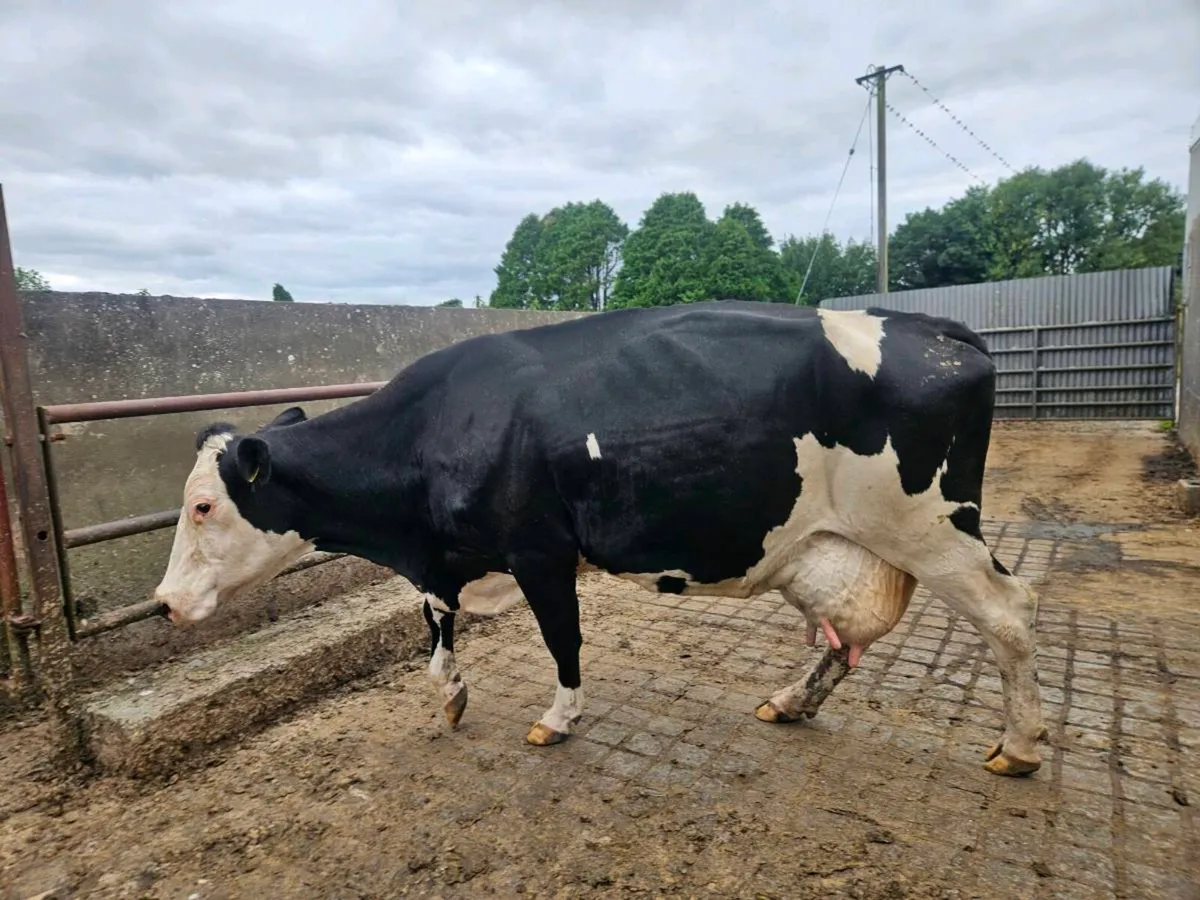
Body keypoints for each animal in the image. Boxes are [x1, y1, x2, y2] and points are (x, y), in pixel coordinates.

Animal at [153, 300, 1047, 776]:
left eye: (201, 507)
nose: (162, 603)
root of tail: (940, 329)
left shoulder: (540, 551)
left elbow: (562, 640)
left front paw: (559, 716)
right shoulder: (449, 560)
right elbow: (436, 633)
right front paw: (451, 695)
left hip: (933, 526)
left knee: (1010, 614)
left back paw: (1021, 745)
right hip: (837, 542)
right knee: (844, 634)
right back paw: (792, 702)